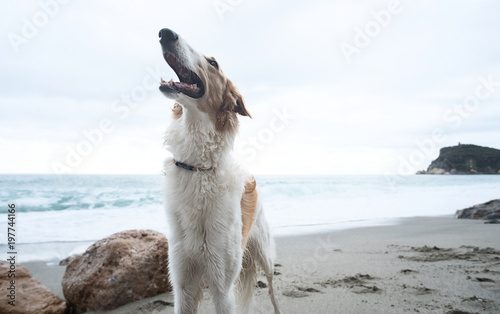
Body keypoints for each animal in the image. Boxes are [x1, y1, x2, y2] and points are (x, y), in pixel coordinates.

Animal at [156, 28, 282, 314]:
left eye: (213, 63)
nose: (165, 33)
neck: (197, 167)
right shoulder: (182, 283)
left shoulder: (222, 287)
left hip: (266, 257)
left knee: (273, 292)